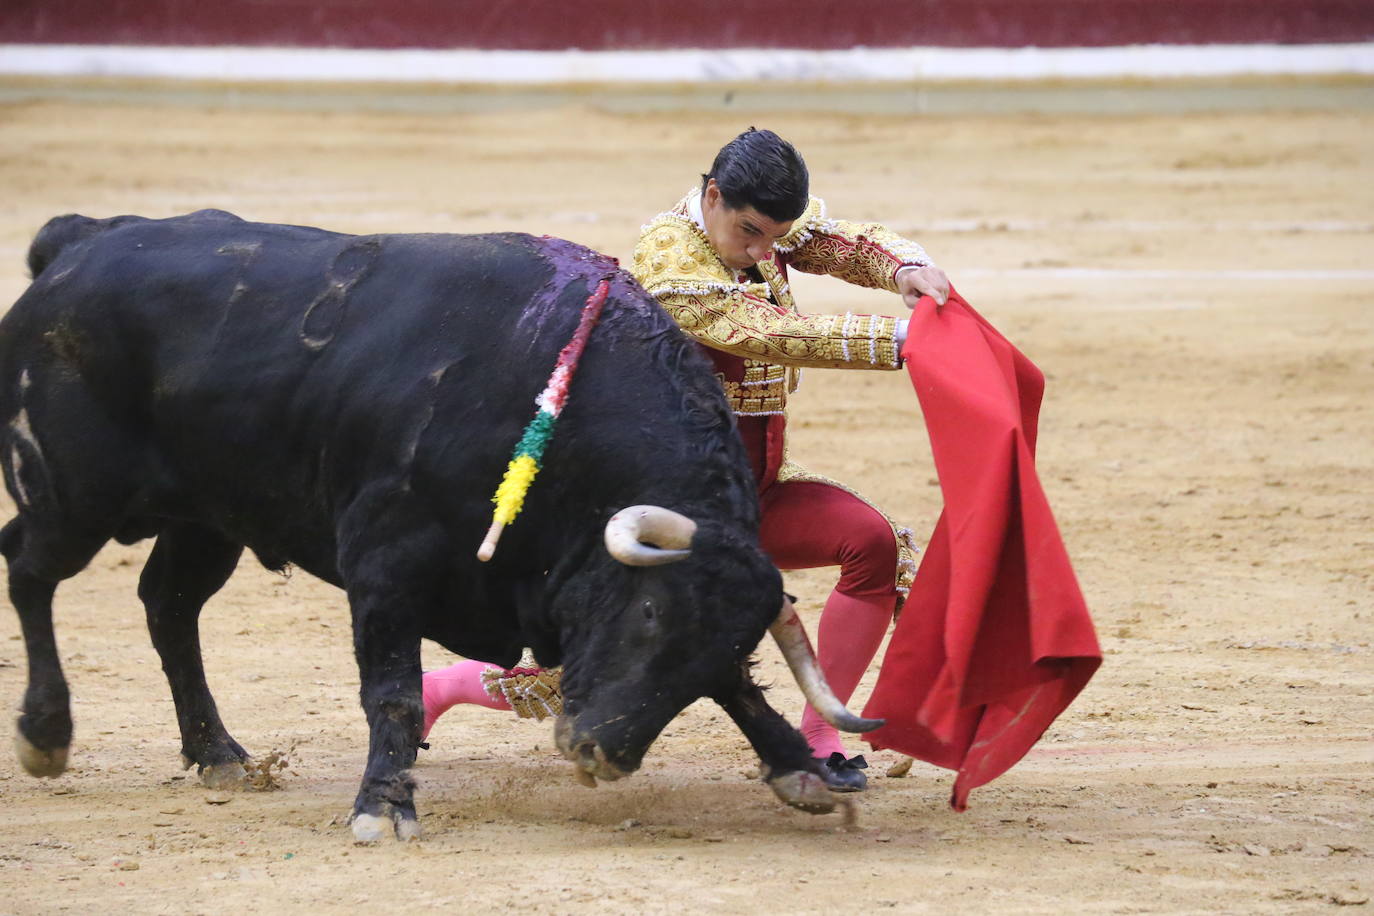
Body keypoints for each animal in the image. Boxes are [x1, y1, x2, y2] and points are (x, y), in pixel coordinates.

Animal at [0, 211, 873, 840]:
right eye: (652, 613)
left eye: (713, 649)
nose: (600, 753)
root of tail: (79, 243)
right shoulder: (386, 563)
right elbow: (392, 694)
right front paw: (383, 807)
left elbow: (742, 690)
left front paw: (802, 769)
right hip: (73, 495)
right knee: (30, 566)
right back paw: (46, 734)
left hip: (208, 516)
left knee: (169, 606)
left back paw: (219, 755)